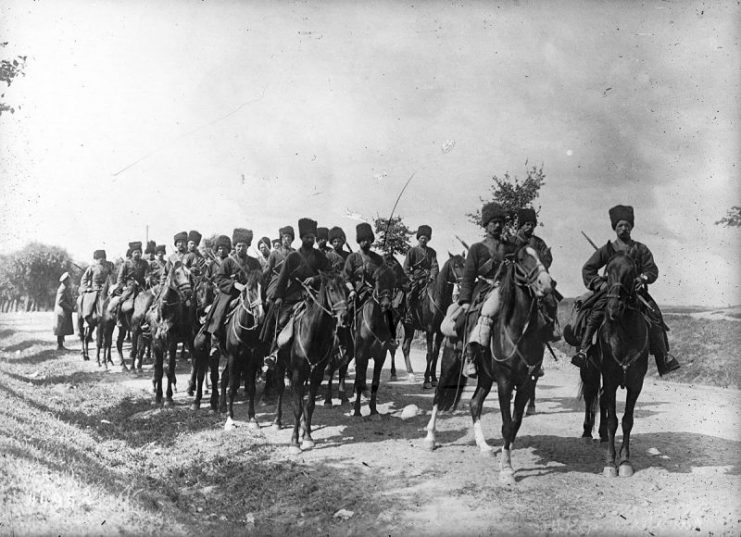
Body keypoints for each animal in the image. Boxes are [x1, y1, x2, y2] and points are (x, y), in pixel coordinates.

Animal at [145, 260, 194, 406]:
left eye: (189, 274)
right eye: (177, 273)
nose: (188, 292)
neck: (165, 313)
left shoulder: (172, 342)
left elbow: (170, 368)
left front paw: (168, 397)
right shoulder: (157, 343)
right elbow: (159, 369)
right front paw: (157, 396)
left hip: (191, 339)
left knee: (195, 362)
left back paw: (190, 388)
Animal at [284, 272, 348, 452]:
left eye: (347, 290)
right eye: (331, 289)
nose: (344, 316)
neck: (313, 335)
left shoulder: (316, 374)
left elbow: (310, 405)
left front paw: (307, 437)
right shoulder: (297, 374)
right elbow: (297, 407)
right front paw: (294, 442)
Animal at [398, 253, 462, 388]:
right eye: (456, 265)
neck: (439, 297)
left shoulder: (440, 333)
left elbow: (436, 354)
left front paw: (434, 379)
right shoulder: (430, 331)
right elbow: (430, 354)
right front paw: (426, 381)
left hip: (409, 328)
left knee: (405, 347)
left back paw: (411, 374)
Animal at [424, 247, 552, 486]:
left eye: (544, 258)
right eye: (521, 259)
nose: (546, 283)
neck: (518, 332)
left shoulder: (527, 384)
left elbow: (515, 424)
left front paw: (505, 460)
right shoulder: (504, 383)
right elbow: (507, 425)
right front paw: (507, 470)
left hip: (484, 377)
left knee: (474, 403)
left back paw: (483, 446)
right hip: (449, 366)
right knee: (438, 396)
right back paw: (430, 438)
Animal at [588, 249, 648, 476]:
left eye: (632, 273)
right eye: (608, 272)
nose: (614, 308)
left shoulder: (636, 384)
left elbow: (627, 421)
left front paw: (625, 462)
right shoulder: (611, 380)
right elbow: (614, 421)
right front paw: (609, 463)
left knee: (602, 399)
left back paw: (602, 434)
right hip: (590, 371)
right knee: (593, 398)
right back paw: (588, 433)